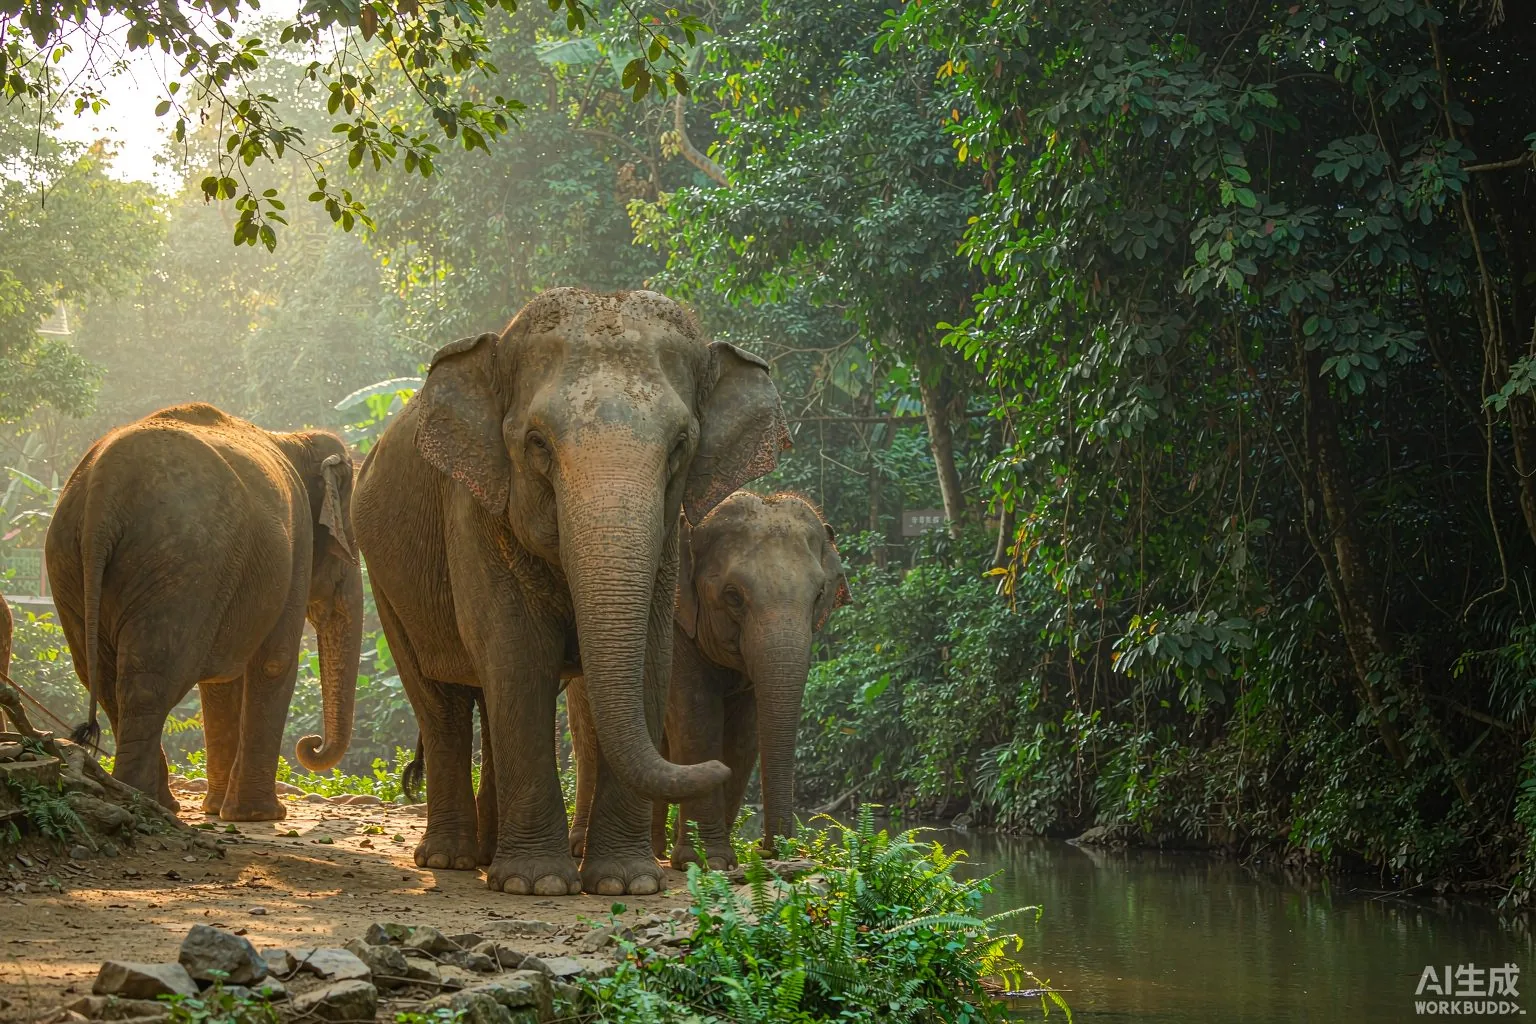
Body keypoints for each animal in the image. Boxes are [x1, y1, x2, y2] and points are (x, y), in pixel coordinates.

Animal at [45, 403, 362, 818]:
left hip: (69, 563)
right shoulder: (296, 546)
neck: (292, 439)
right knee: (152, 679)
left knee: (102, 676)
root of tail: (103, 491)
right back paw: (143, 799)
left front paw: (218, 809)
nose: (311, 744)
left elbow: (223, 681)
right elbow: (273, 662)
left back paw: (150, 798)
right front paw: (261, 815)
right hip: (184, 560)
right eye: (347, 545)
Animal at [351, 287, 789, 897]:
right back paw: (451, 859)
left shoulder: (668, 546)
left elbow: (649, 661)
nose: (716, 769)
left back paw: (486, 852)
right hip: (384, 580)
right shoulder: (475, 512)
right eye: (536, 442)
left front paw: (626, 885)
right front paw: (536, 884)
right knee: (441, 702)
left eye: (680, 446)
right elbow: (518, 655)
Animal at [568, 490, 850, 869]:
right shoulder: (676, 624)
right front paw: (706, 861)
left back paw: (656, 851)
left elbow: (745, 733)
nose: (768, 849)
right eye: (733, 596)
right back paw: (585, 848)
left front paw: (719, 861)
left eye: (819, 594)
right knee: (590, 739)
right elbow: (697, 716)